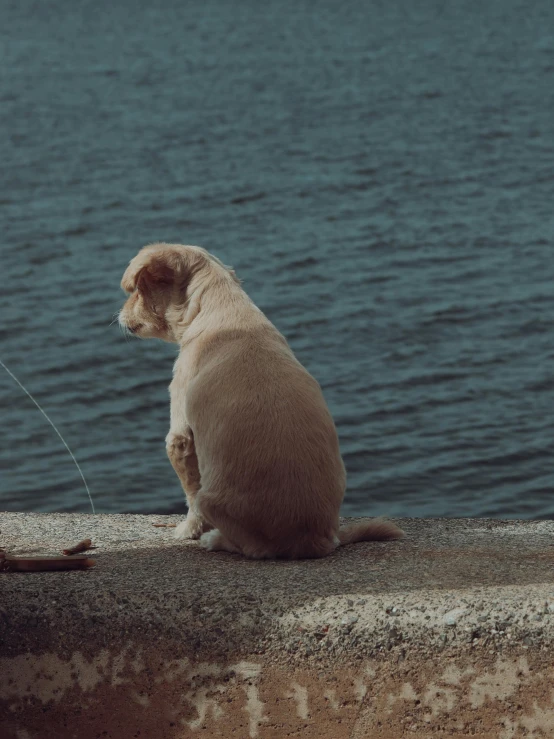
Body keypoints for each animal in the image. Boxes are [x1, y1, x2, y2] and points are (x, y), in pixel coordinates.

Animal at [118, 244, 402, 560]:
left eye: (136, 290)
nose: (119, 314)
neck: (219, 308)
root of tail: (315, 539)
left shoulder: (181, 434)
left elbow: (189, 490)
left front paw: (189, 531)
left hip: (211, 500)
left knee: (251, 547)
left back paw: (215, 539)